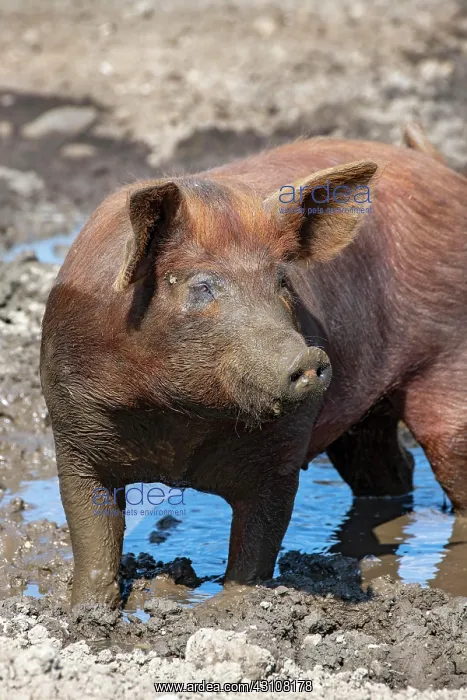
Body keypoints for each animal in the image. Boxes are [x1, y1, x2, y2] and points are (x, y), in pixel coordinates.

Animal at [40, 134, 467, 607]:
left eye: (282, 282)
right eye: (201, 286)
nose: (309, 358)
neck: (178, 419)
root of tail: (442, 172)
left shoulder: (283, 451)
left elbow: (258, 542)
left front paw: (227, 608)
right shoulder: (73, 431)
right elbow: (92, 535)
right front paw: (87, 610)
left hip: (450, 365)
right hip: (365, 418)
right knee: (391, 467)